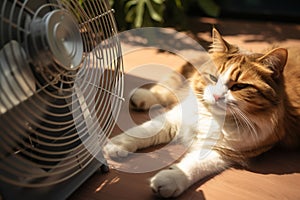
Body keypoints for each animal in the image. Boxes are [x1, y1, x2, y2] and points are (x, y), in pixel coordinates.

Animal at [103, 27, 300, 197]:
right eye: (213, 78)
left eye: (239, 87)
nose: (217, 96)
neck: (214, 117)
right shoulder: (175, 118)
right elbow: (145, 130)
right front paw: (116, 145)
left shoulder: (225, 152)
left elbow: (194, 165)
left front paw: (170, 178)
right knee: (169, 87)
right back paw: (141, 97)